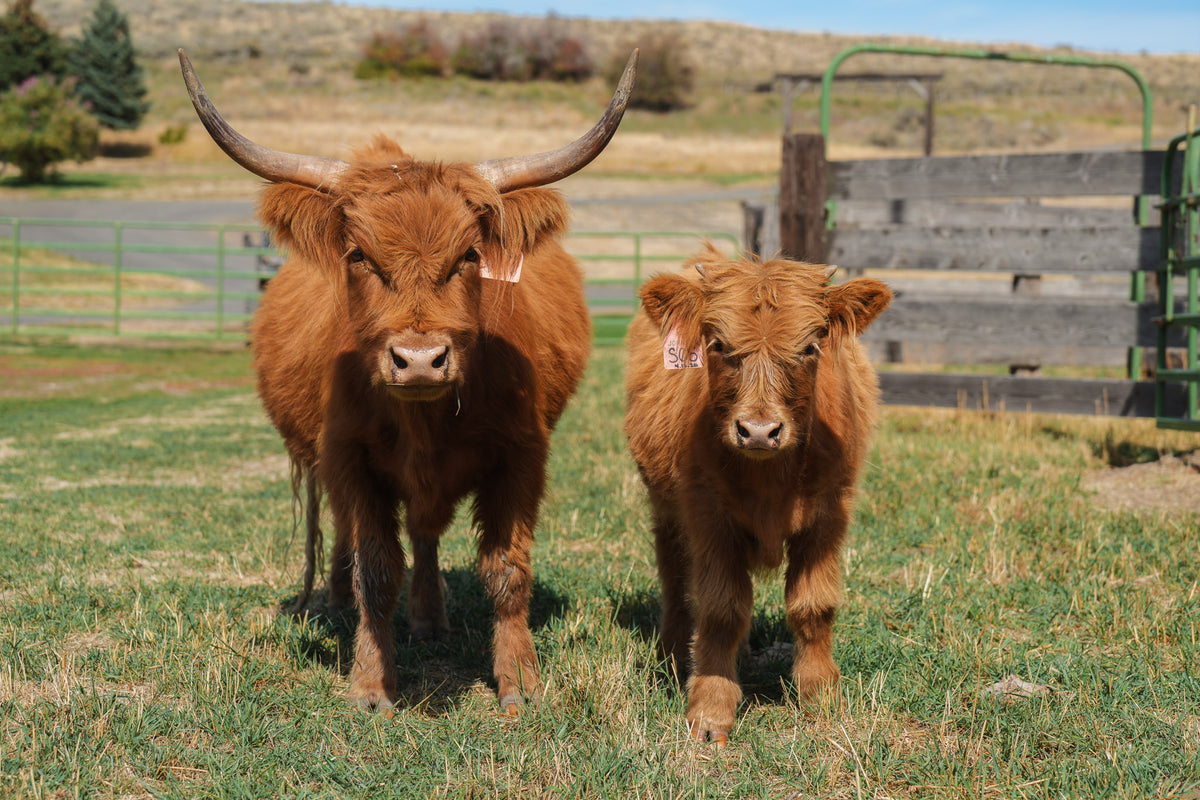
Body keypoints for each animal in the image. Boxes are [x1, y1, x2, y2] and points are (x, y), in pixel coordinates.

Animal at [179, 49, 637, 713]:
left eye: (469, 255)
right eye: (359, 257)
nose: (419, 359)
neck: (425, 418)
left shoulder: (523, 456)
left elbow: (506, 569)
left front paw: (519, 681)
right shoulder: (349, 457)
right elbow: (375, 569)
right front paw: (371, 683)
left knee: (425, 533)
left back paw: (429, 620)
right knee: (349, 535)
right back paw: (337, 598)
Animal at [624, 244, 892, 744]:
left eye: (809, 347)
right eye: (718, 344)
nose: (760, 431)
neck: (770, 478)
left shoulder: (830, 513)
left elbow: (812, 606)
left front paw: (821, 696)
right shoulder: (707, 515)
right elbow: (721, 608)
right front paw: (711, 709)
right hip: (664, 505)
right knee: (674, 575)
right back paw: (673, 652)